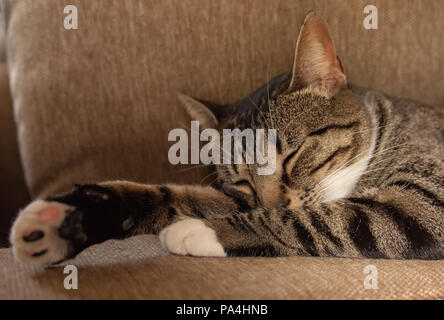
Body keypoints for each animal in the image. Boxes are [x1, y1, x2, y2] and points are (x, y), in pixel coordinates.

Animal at [8, 11, 442, 264]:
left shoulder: (426, 199)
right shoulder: (235, 198)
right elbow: (173, 196)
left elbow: (317, 219)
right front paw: (65, 216)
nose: (270, 200)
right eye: (242, 180)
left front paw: (199, 231)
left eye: (292, 155)